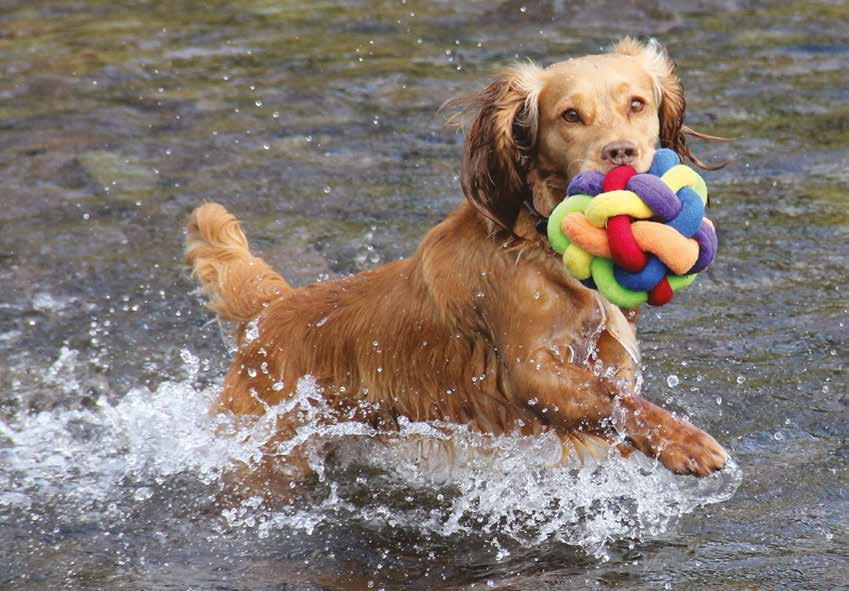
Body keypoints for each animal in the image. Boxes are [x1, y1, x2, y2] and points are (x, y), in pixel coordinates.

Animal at [186, 39, 728, 488]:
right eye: (570, 115)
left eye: (637, 103)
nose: (620, 152)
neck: (538, 242)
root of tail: (268, 313)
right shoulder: (531, 371)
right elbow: (616, 400)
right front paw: (686, 443)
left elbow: (616, 391)